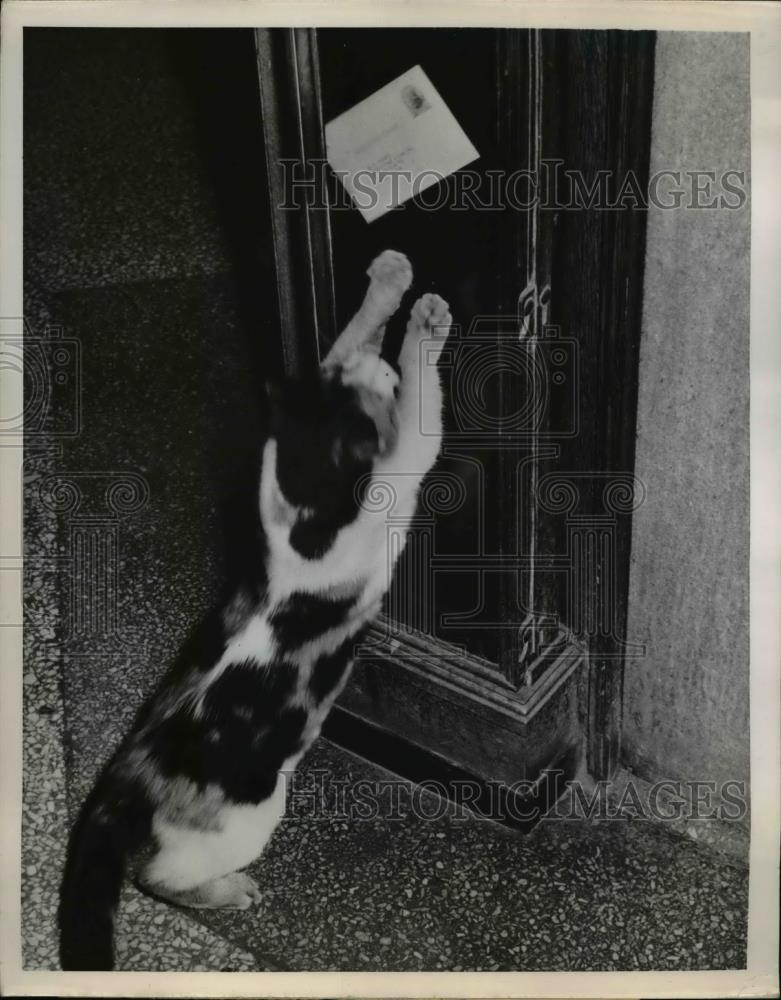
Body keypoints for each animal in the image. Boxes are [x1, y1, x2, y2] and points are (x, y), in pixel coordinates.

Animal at [58, 248, 450, 968]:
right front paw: (422, 324)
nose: (378, 371)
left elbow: (345, 333)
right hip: (250, 815)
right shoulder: (398, 469)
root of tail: (122, 786)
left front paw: (385, 286)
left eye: (351, 382)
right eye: (379, 393)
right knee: (157, 878)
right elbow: (420, 409)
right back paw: (229, 892)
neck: (297, 507)